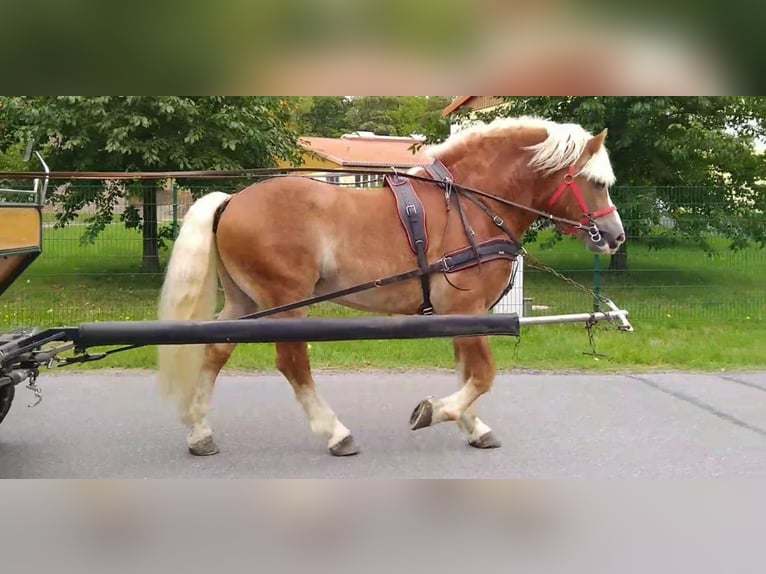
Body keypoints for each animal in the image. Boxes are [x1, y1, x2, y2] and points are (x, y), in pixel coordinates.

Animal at [157, 116, 626, 457]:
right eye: (596, 183)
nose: (615, 236)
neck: (472, 203)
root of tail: (232, 200)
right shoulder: (468, 307)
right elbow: (483, 374)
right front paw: (436, 411)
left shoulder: (457, 315)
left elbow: (468, 371)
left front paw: (472, 426)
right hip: (286, 301)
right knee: (292, 364)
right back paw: (335, 433)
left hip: (246, 301)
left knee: (215, 352)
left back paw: (200, 432)